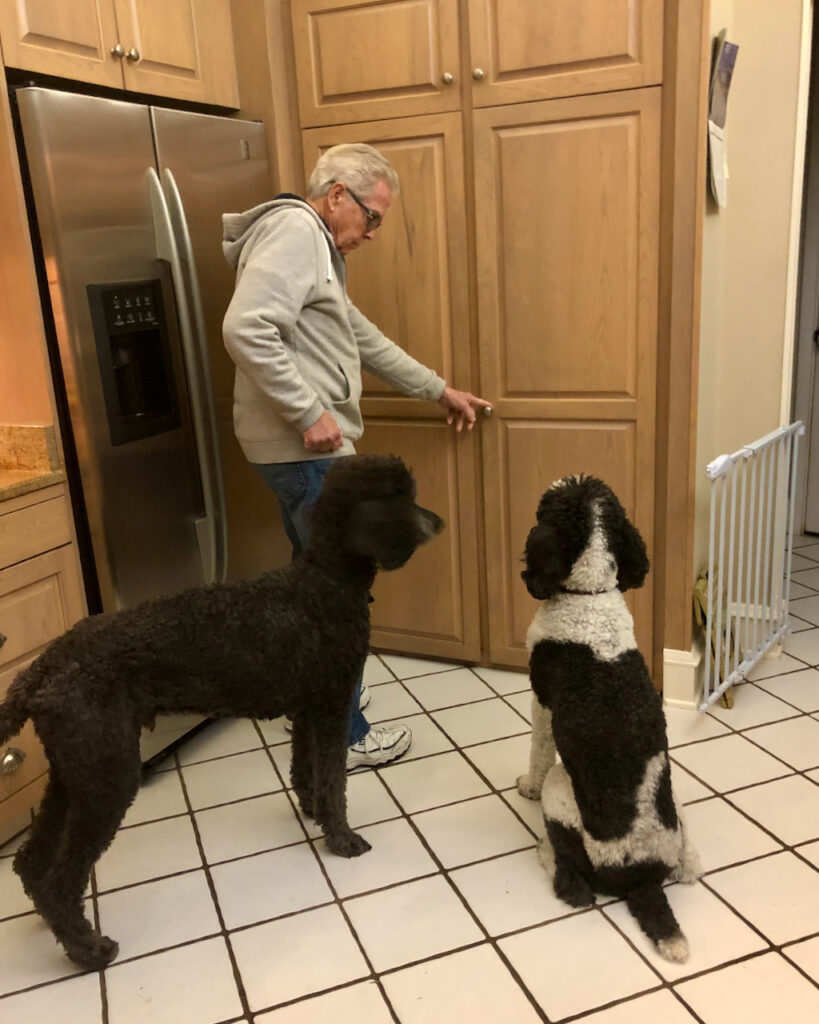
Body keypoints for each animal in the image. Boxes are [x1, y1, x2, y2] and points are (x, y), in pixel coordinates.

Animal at [518, 471, 696, 958]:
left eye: (548, 503)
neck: (589, 596)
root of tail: (641, 880)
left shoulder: (541, 702)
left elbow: (538, 750)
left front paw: (525, 785)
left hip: (562, 793)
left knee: (571, 880)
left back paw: (545, 851)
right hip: (676, 813)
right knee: (689, 865)